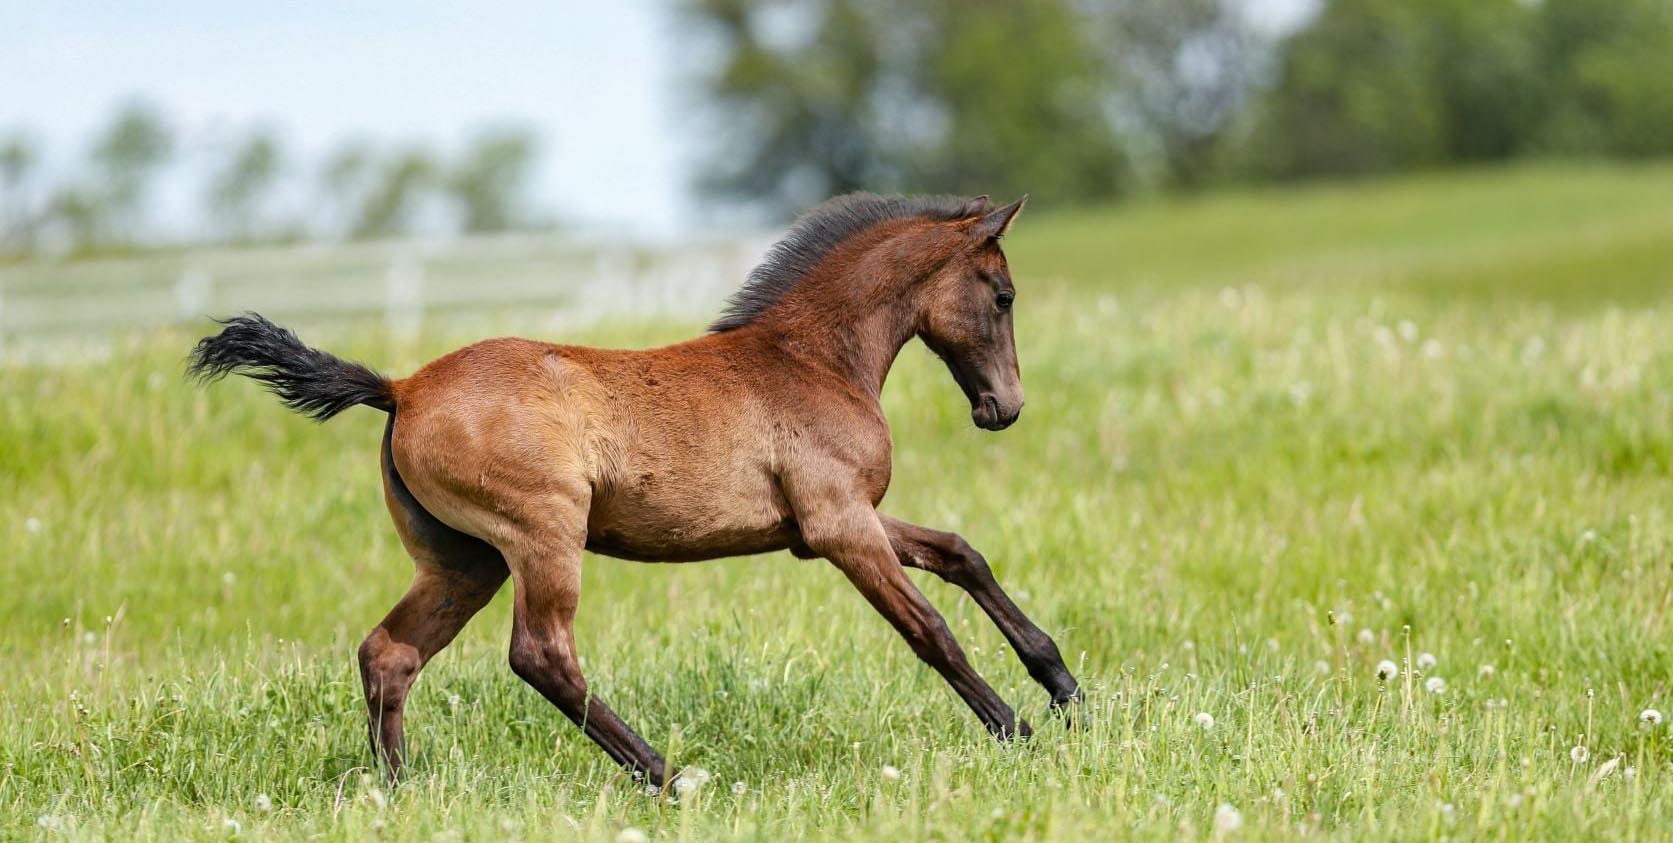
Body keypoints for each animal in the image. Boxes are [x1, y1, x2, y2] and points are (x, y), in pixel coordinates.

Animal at [189, 190, 1077, 782]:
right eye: (1003, 295)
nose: (1003, 407)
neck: (811, 359)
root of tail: (400, 386)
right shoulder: (837, 525)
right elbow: (929, 629)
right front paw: (1016, 730)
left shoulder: (829, 523)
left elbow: (961, 554)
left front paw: (1064, 688)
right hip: (543, 536)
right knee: (541, 654)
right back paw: (668, 774)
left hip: (461, 561)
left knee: (390, 652)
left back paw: (398, 787)